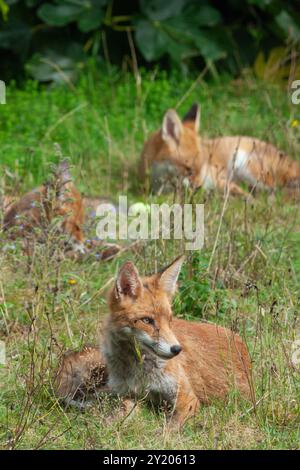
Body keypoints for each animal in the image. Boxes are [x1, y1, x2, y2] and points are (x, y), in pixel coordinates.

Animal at [102, 258, 252, 430]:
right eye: (147, 320)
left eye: (169, 319)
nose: (177, 349)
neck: (138, 370)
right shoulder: (127, 395)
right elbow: (117, 417)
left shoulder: (187, 398)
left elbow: (169, 427)